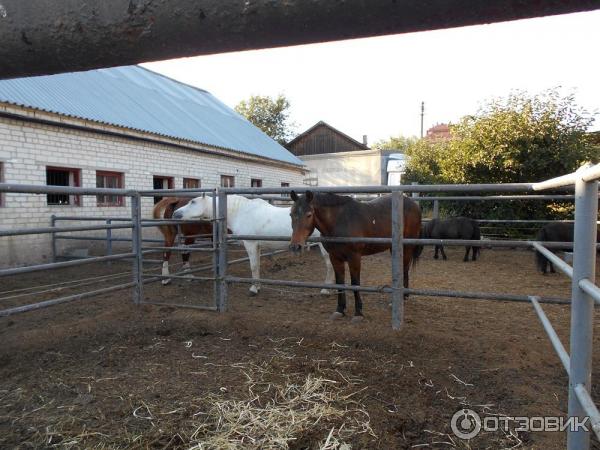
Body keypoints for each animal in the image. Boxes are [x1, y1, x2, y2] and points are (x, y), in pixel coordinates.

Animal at [173, 193, 336, 296]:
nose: (175, 214)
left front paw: (253, 289)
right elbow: (256, 265)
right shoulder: (256, 245)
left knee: (330, 266)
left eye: (193, 202)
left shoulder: (250, 244)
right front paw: (257, 286)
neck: (241, 211)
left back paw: (326, 290)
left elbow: (253, 266)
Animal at [290, 192, 422, 322]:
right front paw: (340, 310)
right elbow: (339, 283)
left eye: (309, 215)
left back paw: (402, 298)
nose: (296, 246)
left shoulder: (354, 257)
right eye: (291, 214)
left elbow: (355, 283)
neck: (339, 221)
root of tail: (414, 204)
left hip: (407, 247)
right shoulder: (335, 258)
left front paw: (358, 313)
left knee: (405, 270)